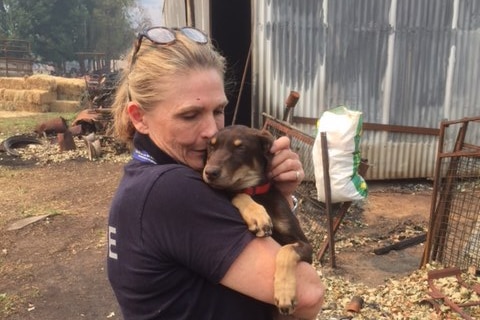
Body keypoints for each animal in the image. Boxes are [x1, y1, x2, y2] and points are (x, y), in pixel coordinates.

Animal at [202, 124, 312, 316]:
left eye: (240, 148)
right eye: (211, 146)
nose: (209, 173)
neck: (254, 191)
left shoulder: (306, 246)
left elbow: (286, 251)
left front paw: (284, 294)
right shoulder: (237, 192)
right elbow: (238, 194)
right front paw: (257, 215)